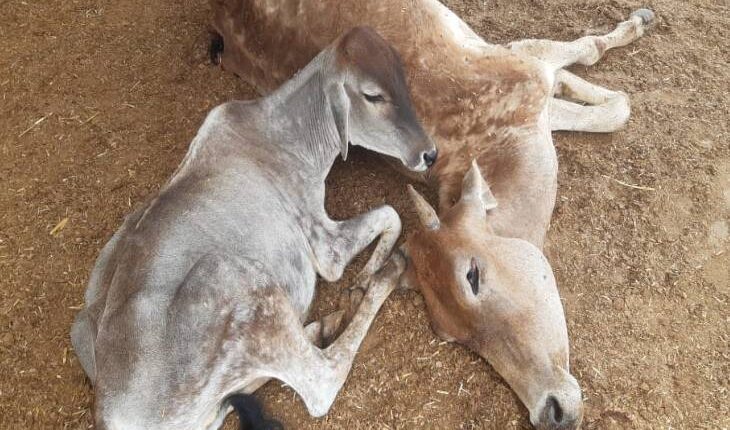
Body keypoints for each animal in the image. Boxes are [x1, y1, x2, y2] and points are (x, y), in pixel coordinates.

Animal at [70, 27, 436, 429]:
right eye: (373, 95)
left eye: (403, 77)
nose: (429, 153)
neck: (286, 134)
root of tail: (108, 411)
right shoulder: (325, 247)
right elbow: (391, 215)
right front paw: (368, 275)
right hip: (237, 280)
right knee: (321, 379)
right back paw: (384, 277)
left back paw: (322, 325)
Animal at [209, 1, 654, 428]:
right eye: (451, 335)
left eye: (473, 275)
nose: (551, 411)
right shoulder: (528, 77)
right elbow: (615, 104)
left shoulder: (525, 65)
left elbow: (588, 68)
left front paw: (638, 21)